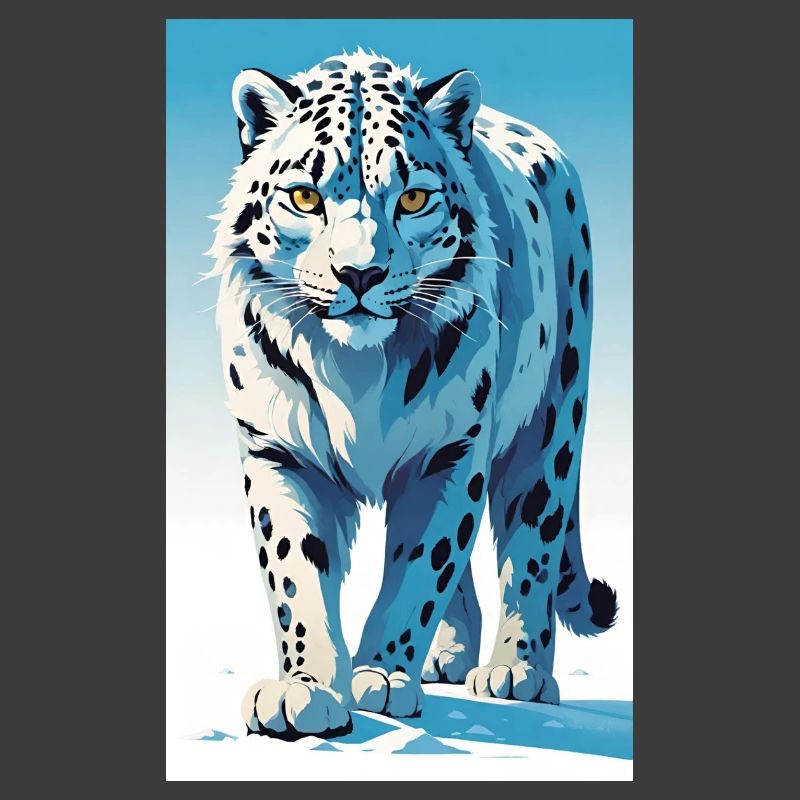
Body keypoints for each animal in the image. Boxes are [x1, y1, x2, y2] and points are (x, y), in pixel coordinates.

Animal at [207, 49, 618, 741]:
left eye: (415, 197)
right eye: (304, 196)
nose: (360, 274)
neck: (358, 371)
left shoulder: (449, 452)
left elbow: (421, 567)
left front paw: (381, 677)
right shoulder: (278, 449)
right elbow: (295, 572)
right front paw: (305, 690)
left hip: (551, 425)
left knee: (532, 543)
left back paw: (515, 671)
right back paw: (447, 658)